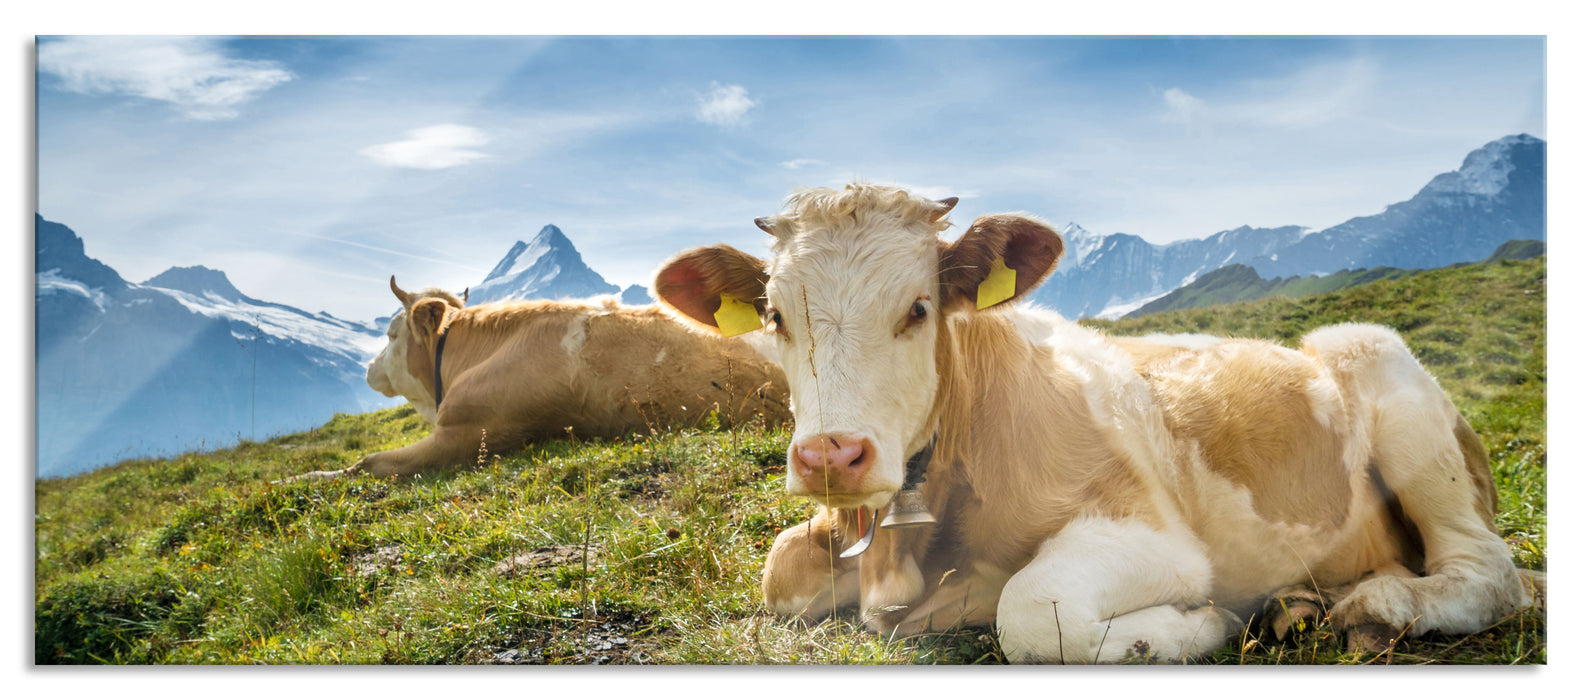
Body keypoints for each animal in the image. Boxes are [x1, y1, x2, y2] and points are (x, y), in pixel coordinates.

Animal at [648, 182, 1537, 665]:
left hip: (1381, 367)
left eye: (919, 308)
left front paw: (1198, 624)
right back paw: (1302, 607)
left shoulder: (1151, 532)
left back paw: (1374, 604)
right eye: (774, 314)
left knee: (1486, 573)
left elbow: (1031, 611)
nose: (834, 455)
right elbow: (781, 571)